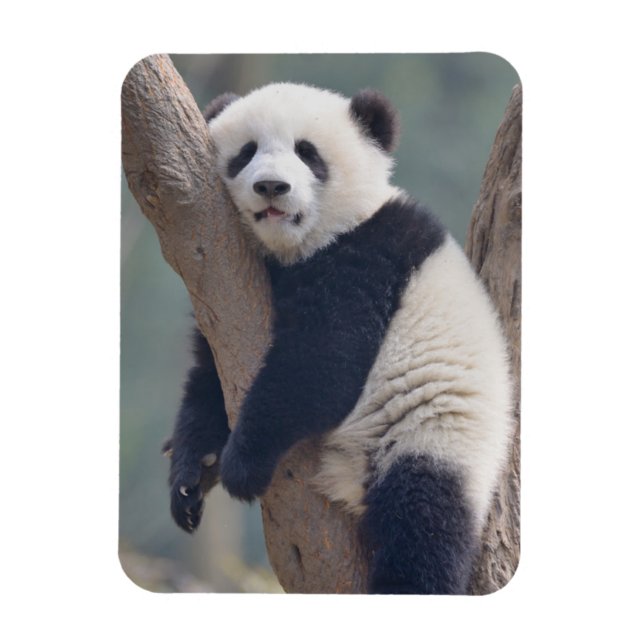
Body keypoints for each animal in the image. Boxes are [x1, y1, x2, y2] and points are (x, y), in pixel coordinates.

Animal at [164, 82, 514, 595]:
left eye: (307, 153)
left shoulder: (370, 256)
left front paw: (241, 464)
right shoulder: (224, 290)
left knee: (424, 524)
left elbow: (322, 366)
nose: (272, 187)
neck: (300, 248)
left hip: (436, 436)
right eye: (246, 153)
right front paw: (191, 475)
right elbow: (210, 375)